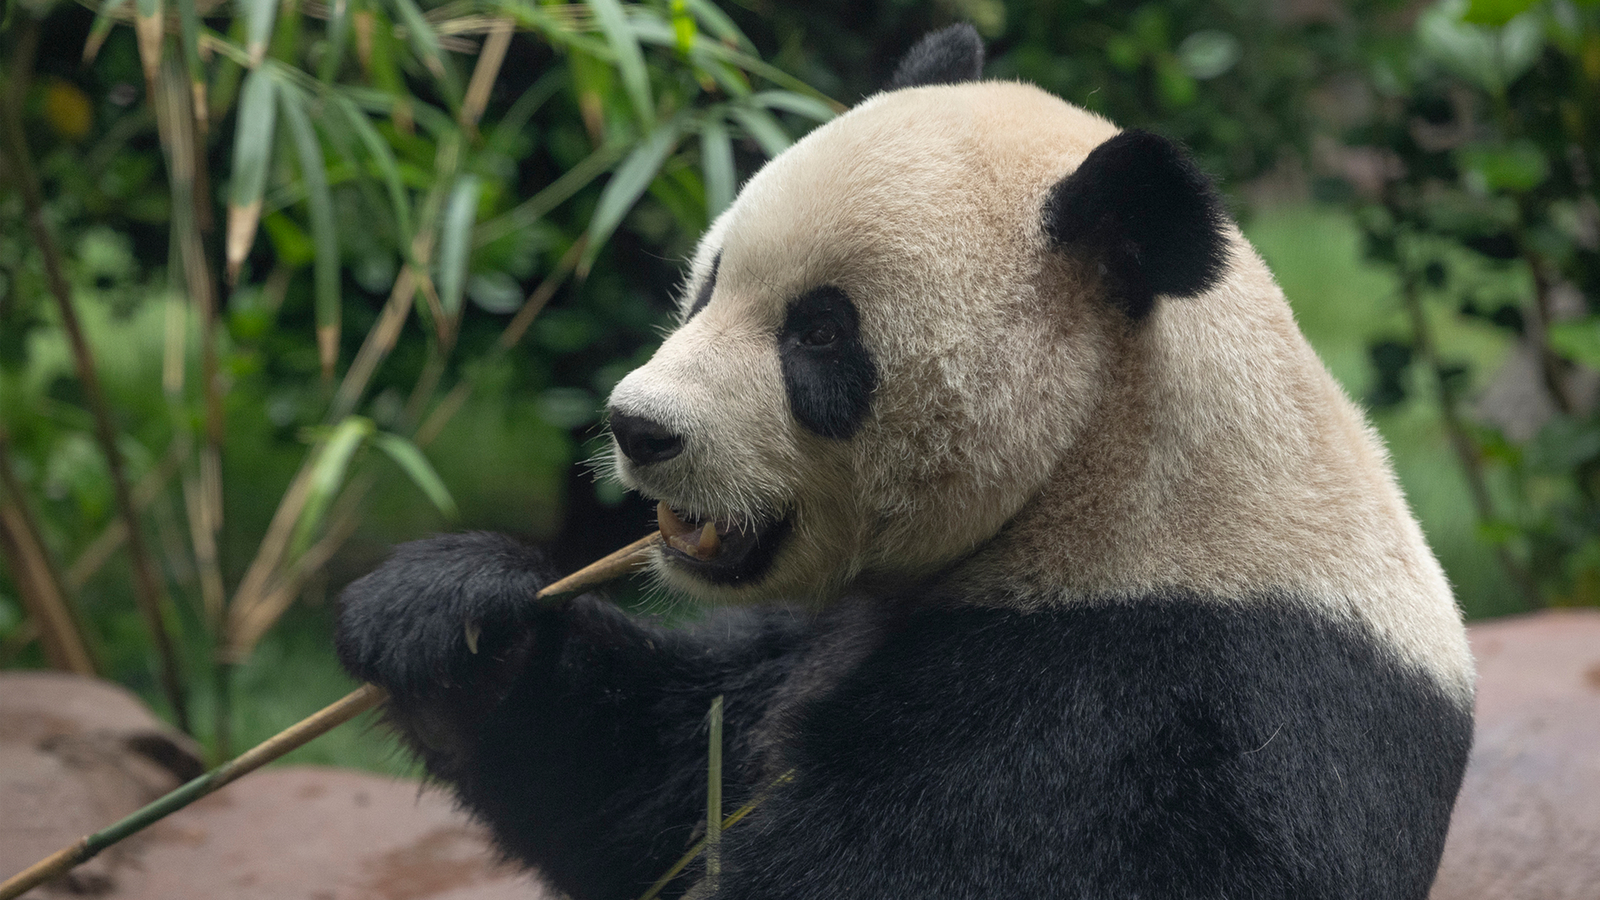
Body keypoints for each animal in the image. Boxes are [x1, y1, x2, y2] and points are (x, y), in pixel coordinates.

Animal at [337, 26, 1472, 896]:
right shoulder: (829, 633)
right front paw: (451, 618)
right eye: (708, 284)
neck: (1106, 473)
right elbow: (663, 779)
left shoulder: (1142, 706)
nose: (639, 427)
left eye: (820, 335)